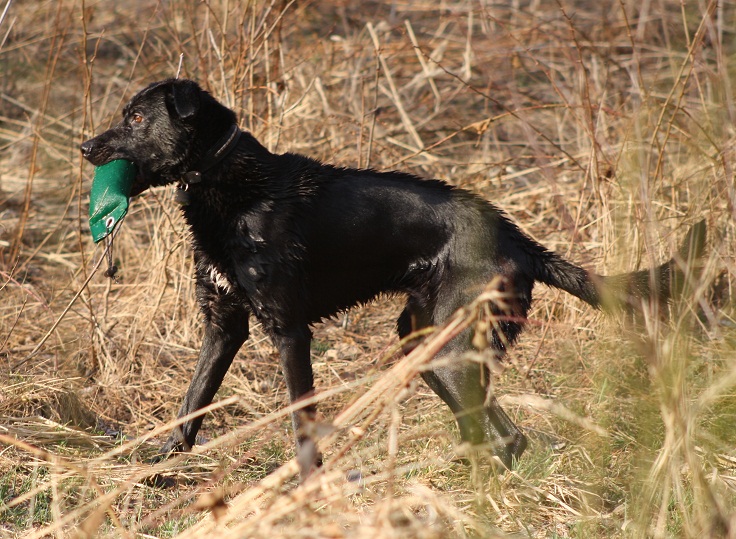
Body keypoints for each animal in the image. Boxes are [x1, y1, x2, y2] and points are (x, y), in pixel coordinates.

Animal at [82, 79, 708, 472]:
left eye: (136, 117)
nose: (86, 146)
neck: (224, 183)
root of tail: (519, 239)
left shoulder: (289, 332)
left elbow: (301, 420)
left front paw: (307, 487)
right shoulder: (223, 324)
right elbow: (192, 402)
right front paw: (159, 468)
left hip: (450, 349)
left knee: (504, 434)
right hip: (427, 345)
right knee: (501, 433)